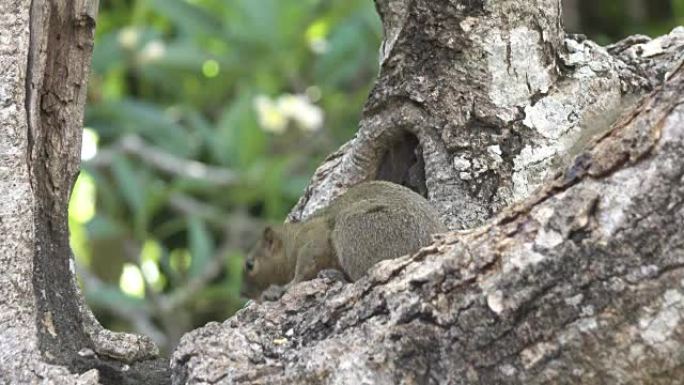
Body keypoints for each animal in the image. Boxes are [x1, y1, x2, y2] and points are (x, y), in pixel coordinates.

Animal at [242, 180, 448, 300]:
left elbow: (304, 268)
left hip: (354, 229)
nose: (243, 294)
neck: (293, 239)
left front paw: (285, 288)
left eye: (250, 264)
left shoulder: (314, 239)